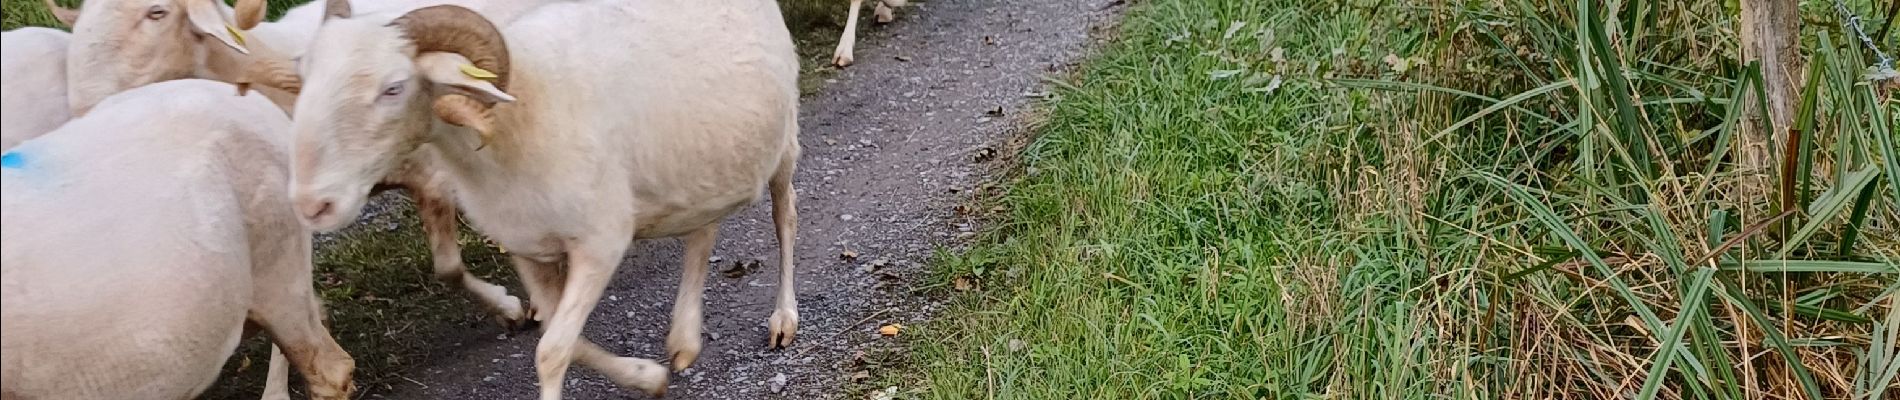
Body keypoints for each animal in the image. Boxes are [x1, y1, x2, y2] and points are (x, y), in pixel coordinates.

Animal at [285, 0, 805, 394]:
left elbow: (552, 351)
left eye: (393, 88)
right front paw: (646, 376)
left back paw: (783, 317)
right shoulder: (528, 248)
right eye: (305, 79)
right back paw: (684, 339)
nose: (311, 205)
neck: (517, 117)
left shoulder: (600, 242)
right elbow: (568, 341)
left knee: (785, 217)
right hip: (702, 160)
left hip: (783, 141)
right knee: (703, 232)